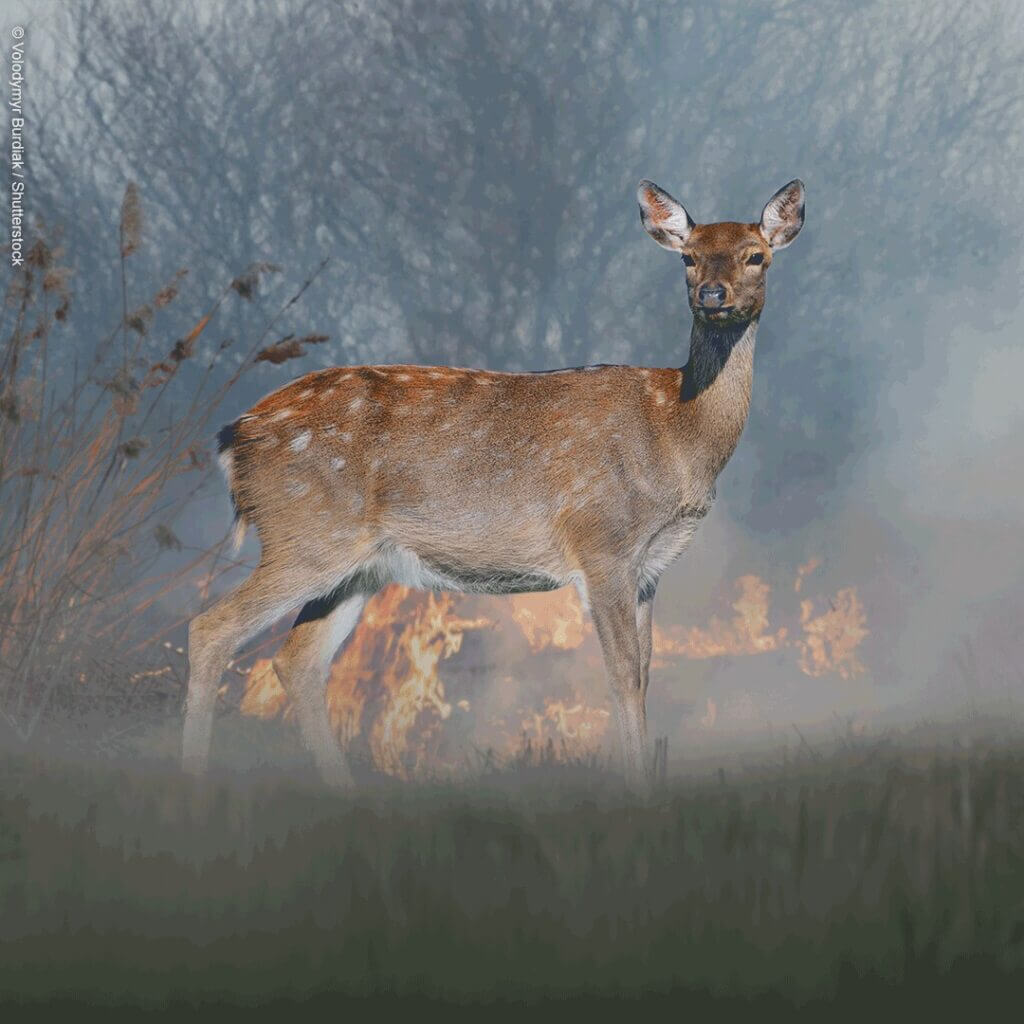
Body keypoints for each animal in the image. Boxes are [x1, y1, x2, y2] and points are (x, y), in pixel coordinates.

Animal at [186, 178, 806, 790]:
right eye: (688, 257)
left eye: (756, 256)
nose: (712, 295)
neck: (679, 434)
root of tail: (234, 438)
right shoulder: (602, 543)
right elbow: (623, 677)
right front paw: (638, 792)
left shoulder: (650, 567)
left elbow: (646, 674)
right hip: (306, 532)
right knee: (211, 628)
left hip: (359, 564)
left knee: (298, 659)